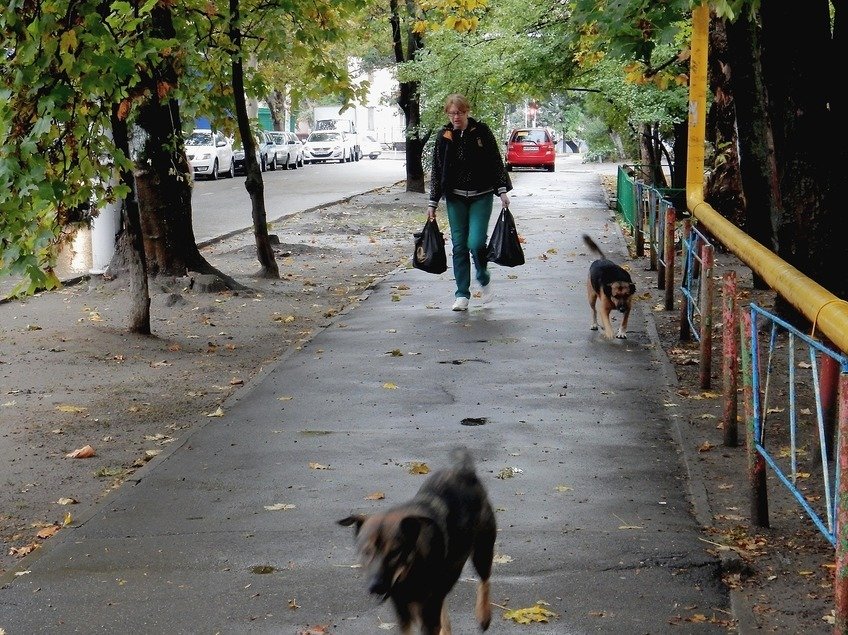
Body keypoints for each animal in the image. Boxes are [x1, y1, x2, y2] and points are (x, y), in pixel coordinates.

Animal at [338, 448, 496, 635]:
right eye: (366, 551)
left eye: (395, 552)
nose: (375, 586)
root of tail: (464, 471)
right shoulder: (403, 609)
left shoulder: (427, 612)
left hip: (483, 548)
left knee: (484, 579)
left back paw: (483, 616)